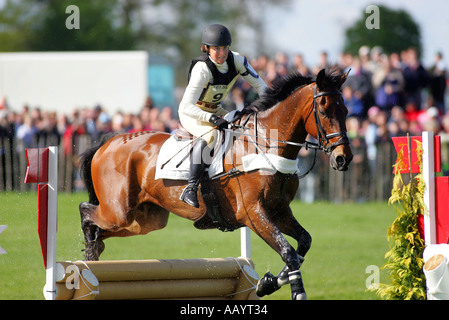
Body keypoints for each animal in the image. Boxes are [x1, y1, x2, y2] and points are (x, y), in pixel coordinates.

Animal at [78, 69, 354, 298]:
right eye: (324, 110)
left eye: (346, 111)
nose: (344, 158)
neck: (267, 144)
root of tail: (107, 143)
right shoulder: (253, 213)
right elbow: (288, 252)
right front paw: (295, 292)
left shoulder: (279, 211)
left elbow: (303, 244)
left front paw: (266, 284)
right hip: (119, 211)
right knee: (86, 211)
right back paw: (90, 255)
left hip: (146, 219)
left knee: (101, 227)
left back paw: (95, 251)